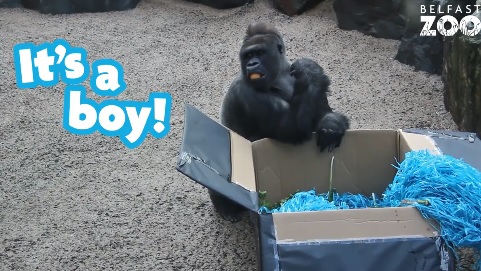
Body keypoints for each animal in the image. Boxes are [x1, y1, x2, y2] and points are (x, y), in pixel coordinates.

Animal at [208, 21, 346, 223]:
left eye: (259, 53)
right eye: (247, 55)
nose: (252, 64)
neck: (279, 75)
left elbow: (322, 113)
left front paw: (332, 126)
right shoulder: (245, 91)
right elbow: (290, 129)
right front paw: (311, 73)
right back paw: (224, 206)